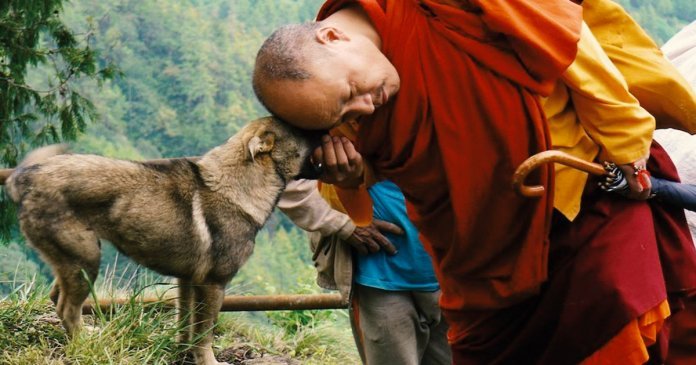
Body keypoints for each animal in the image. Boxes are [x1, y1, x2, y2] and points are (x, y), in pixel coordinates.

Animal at [6, 116, 320, 364]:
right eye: (299, 130)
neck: (241, 183)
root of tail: (26, 177)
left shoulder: (188, 280)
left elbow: (186, 323)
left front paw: (183, 352)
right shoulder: (214, 284)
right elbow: (206, 332)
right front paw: (208, 361)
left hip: (73, 261)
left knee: (57, 297)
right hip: (86, 259)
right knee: (66, 308)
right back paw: (85, 344)